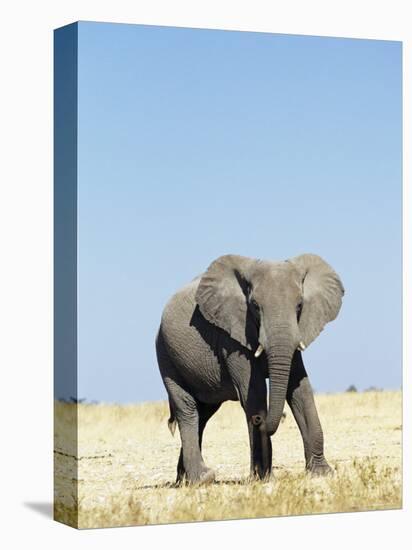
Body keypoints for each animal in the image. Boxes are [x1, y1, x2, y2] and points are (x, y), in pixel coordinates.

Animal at [155, 252, 344, 486]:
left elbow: (301, 391)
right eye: (254, 305)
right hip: (166, 355)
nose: (258, 420)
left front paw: (322, 473)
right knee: (187, 410)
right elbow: (254, 393)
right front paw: (263, 478)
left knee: (203, 413)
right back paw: (202, 479)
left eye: (300, 305)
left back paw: (184, 480)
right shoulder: (231, 338)